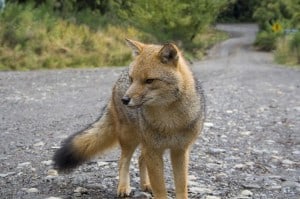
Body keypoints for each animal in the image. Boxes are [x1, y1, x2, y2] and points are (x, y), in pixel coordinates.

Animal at [52, 39, 205, 199]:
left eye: (149, 80)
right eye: (132, 79)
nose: (124, 100)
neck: (170, 122)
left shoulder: (180, 151)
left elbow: (181, 186)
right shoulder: (154, 150)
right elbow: (160, 188)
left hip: (144, 144)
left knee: (140, 159)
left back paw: (146, 184)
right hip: (130, 139)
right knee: (123, 162)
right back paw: (124, 187)